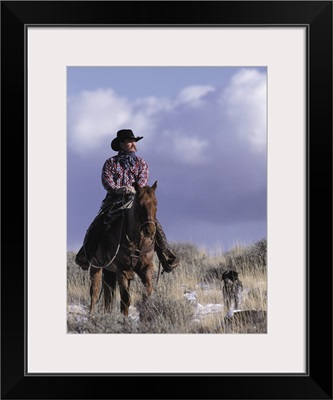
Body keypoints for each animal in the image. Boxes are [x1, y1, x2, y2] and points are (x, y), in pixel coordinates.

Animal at [89, 181, 158, 316]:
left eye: (156, 204)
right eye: (139, 204)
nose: (150, 230)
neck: (137, 242)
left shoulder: (146, 268)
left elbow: (147, 293)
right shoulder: (122, 270)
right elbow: (126, 299)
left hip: (109, 270)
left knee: (108, 294)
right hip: (96, 266)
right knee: (94, 292)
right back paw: (91, 315)